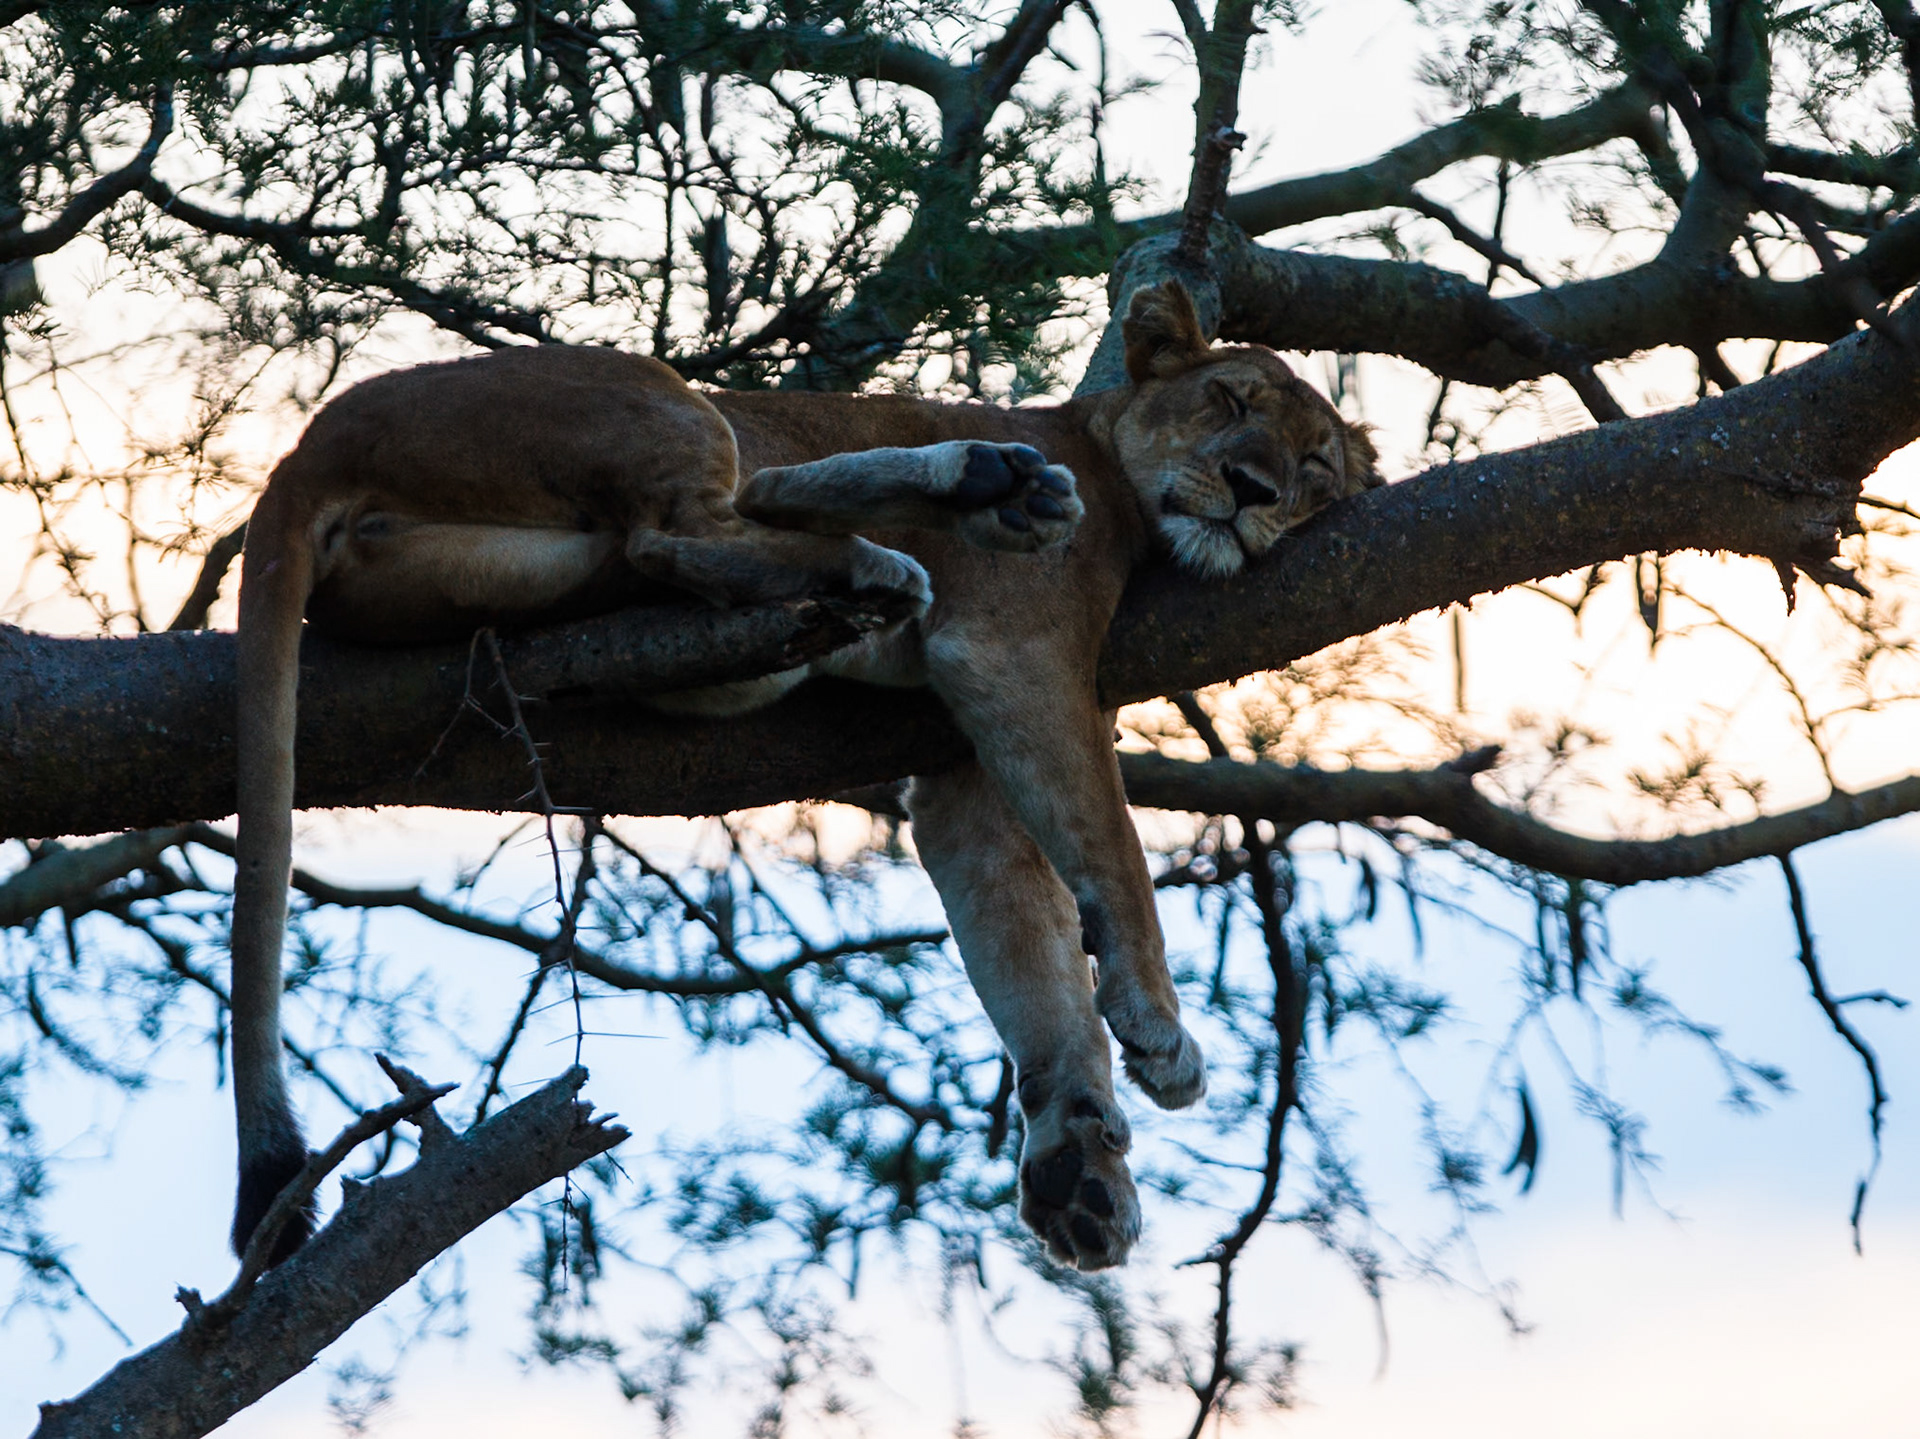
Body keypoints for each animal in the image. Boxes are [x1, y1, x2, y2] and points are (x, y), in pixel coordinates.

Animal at [228, 278, 1379, 1270]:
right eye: (1229, 400)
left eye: (1318, 469)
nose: (1255, 489)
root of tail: (308, 445)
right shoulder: (1016, 653)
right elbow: (1116, 850)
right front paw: (1158, 1026)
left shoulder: (967, 776)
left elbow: (1035, 955)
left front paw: (1079, 1169)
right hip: (658, 397)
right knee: (681, 530)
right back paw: (930, 527)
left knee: (713, 519)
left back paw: (970, 491)